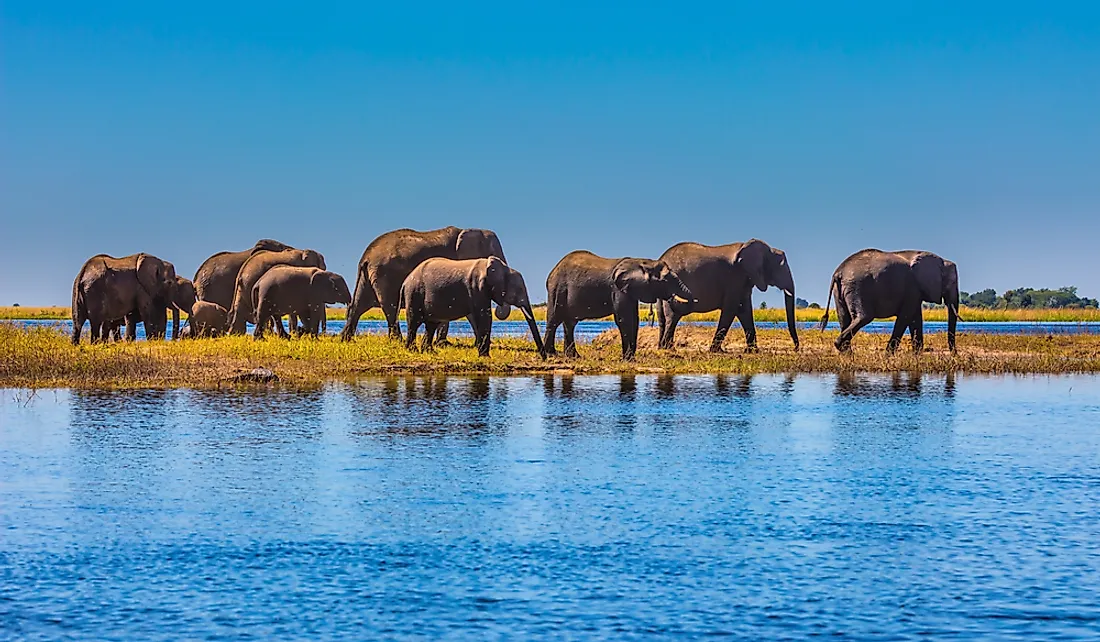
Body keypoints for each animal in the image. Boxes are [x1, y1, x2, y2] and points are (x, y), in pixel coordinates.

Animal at [341, 228, 508, 342]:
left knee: (358, 305)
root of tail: (366, 257)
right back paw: (397, 341)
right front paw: (443, 344)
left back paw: (345, 339)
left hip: (368, 276)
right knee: (390, 307)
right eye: (492, 257)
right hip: (384, 275)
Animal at [400, 256, 545, 356]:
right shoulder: (476, 287)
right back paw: (412, 350)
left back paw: (429, 352)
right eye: (519, 289)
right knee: (414, 322)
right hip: (414, 293)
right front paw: (485, 357)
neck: (502, 268)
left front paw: (482, 355)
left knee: (431, 325)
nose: (543, 357)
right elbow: (484, 316)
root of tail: (405, 281)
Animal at [543, 250, 690, 360]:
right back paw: (552, 354)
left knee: (569, 323)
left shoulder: (630, 290)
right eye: (665, 280)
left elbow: (634, 320)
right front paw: (628, 359)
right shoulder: (617, 289)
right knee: (554, 320)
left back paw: (574, 357)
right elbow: (624, 320)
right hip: (558, 289)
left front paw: (631, 358)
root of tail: (553, 270)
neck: (641, 262)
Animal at [651, 239, 800, 353]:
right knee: (673, 317)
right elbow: (731, 310)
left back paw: (662, 347)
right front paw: (716, 351)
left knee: (662, 318)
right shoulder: (735, 278)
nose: (795, 349)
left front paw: (752, 351)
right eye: (781, 266)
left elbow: (744, 311)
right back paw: (668, 348)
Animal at [818, 249, 963, 353]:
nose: (954, 353)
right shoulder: (913, 287)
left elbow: (915, 318)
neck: (941, 261)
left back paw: (846, 352)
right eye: (951, 282)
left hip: (841, 290)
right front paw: (889, 353)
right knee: (864, 317)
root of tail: (838, 272)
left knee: (844, 319)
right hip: (858, 287)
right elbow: (906, 316)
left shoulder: (915, 291)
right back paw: (842, 347)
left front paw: (917, 353)